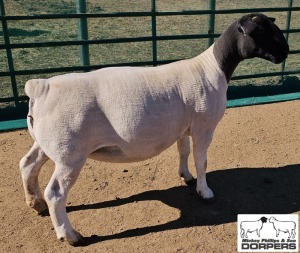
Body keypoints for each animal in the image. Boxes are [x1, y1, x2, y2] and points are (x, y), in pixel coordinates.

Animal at [19, 12, 288, 245]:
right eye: (262, 31)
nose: (285, 52)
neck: (213, 67)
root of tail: (40, 87)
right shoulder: (204, 126)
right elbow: (202, 161)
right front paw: (205, 191)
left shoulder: (183, 127)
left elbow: (183, 152)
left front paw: (186, 176)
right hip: (70, 154)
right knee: (56, 193)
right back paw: (71, 235)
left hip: (46, 143)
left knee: (28, 165)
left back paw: (36, 204)